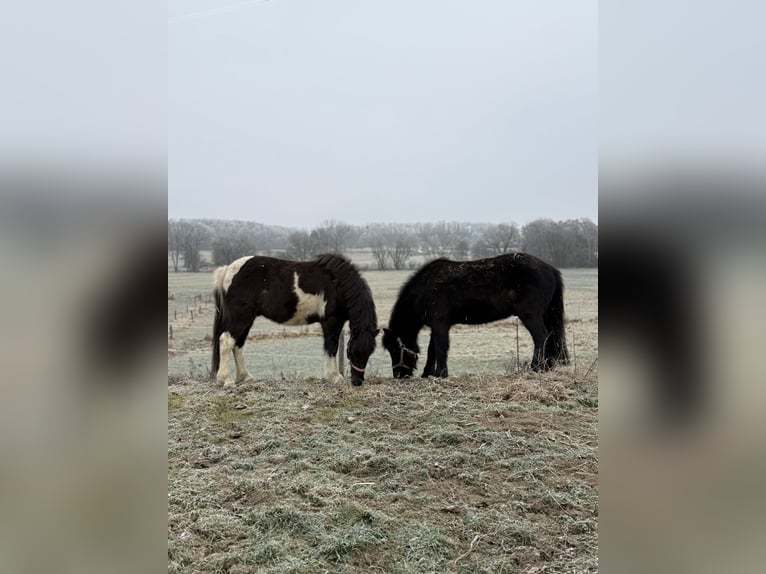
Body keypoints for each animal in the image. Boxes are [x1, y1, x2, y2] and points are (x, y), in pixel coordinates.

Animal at [211, 254, 378, 387]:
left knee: (238, 345)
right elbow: (332, 347)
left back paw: (244, 377)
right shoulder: (331, 321)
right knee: (226, 341)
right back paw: (226, 380)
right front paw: (335, 377)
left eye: (369, 352)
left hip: (248, 319)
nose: (357, 382)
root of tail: (227, 270)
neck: (337, 283)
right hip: (241, 318)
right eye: (353, 351)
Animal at [381, 252, 569, 378]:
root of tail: (550, 269)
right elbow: (432, 350)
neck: (424, 288)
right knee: (549, 337)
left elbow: (440, 348)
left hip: (531, 316)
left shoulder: (440, 324)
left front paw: (441, 374)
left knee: (541, 337)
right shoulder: (437, 325)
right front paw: (428, 374)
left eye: (394, 348)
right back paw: (546, 367)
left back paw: (536, 367)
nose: (399, 375)